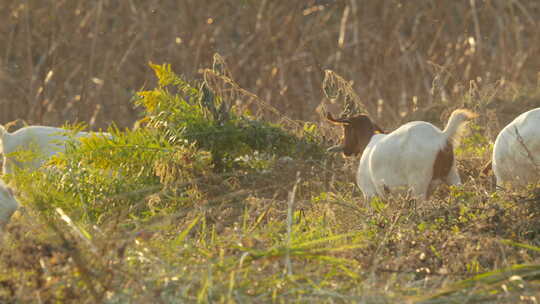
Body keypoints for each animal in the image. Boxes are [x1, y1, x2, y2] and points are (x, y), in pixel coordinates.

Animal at [326, 108, 474, 200]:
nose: (345, 150)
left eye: (345, 128)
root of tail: (441, 136)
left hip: (418, 185)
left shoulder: (369, 193)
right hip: (451, 176)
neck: (368, 142)